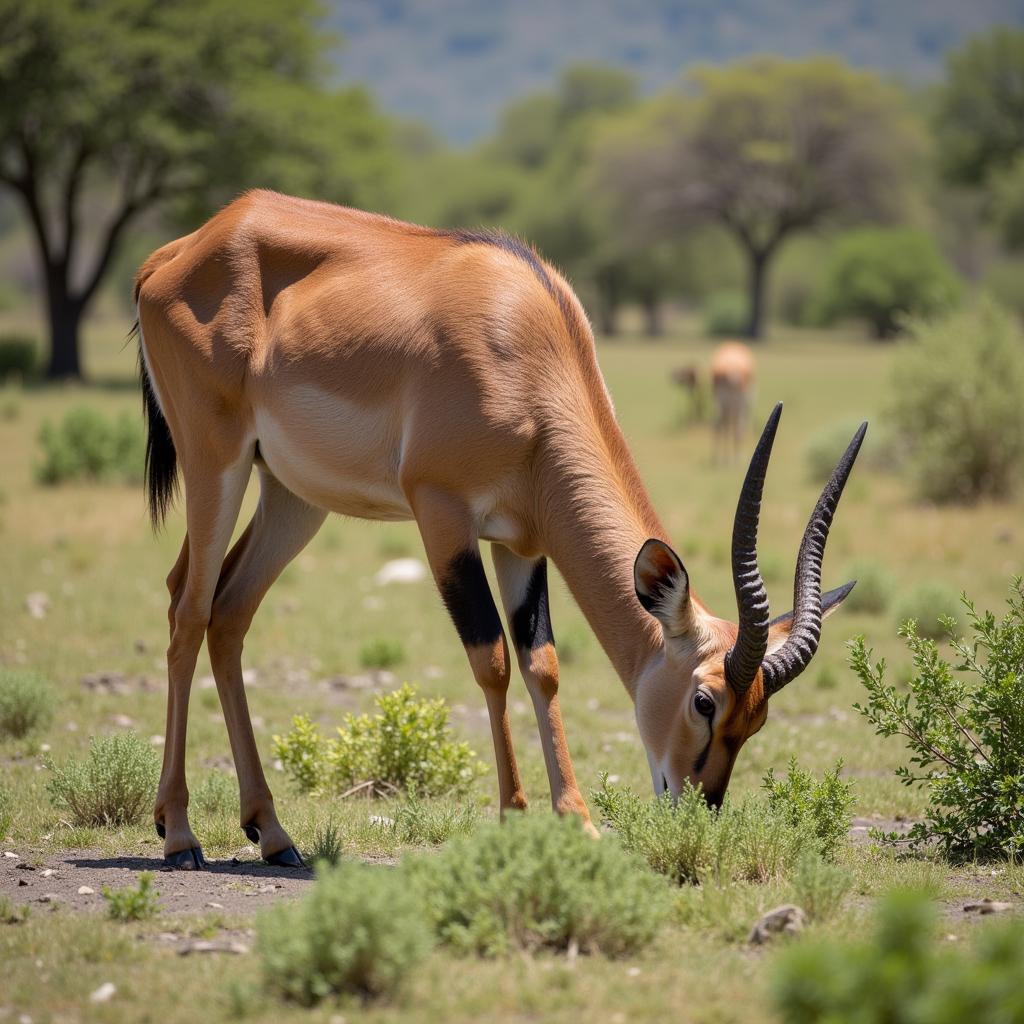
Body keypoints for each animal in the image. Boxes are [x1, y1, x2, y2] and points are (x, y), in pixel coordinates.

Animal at [132, 188, 860, 868]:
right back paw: (181, 835)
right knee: (188, 608)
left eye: (757, 718)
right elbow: (493, 660)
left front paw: (578, 822)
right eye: (705, 701)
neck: (524, 338)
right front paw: (514, 815)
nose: (698, 806)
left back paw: (273, 833)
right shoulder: (443, 515)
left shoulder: (521, 542)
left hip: (292, 496)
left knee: (227, 610)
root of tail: (177, 253)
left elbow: (543, 666)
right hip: (217, 464)